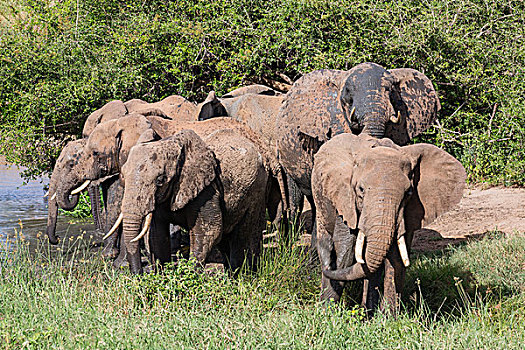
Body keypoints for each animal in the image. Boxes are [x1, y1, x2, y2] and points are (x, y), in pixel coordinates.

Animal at [116, 129, 268, 274]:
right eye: (123, 176)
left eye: (160, 180)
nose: (138, 275)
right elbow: (157, 236)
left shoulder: (206, 191)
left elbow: (208, 232)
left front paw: (191, 276)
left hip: (256, 190)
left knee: (242, 237)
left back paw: (241, 275)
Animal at [310, 133, 464, 312]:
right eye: (361, 190)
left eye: (409, 193)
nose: (327, 268)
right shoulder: (345, 199)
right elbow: (346, 247)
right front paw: (327, 311)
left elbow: (396, 257)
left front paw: (388, 316)